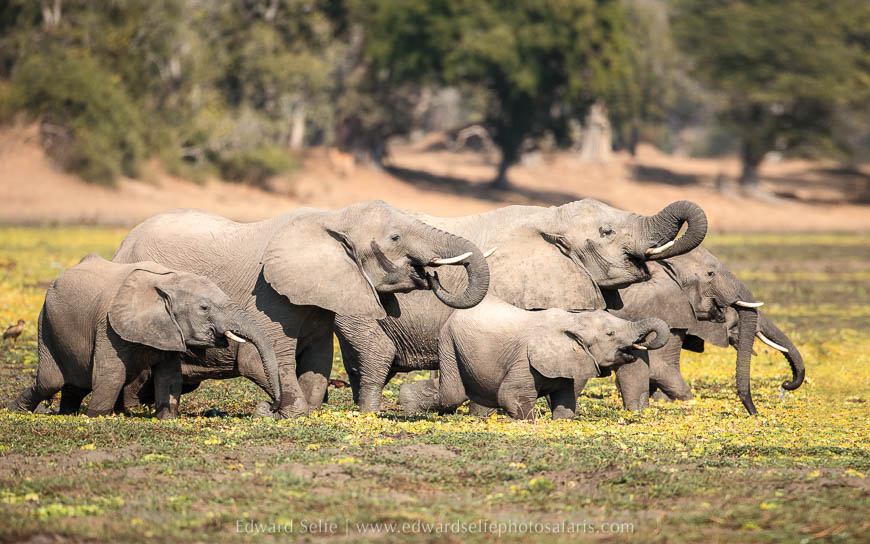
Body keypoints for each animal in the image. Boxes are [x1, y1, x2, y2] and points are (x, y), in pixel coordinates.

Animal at [8, 255, 282, 419]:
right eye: (204, 308)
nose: (270, 407)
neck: (169, 280)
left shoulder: (169, 330)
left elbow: (170, 377)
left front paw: (167, 418)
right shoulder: (108, 325)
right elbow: (111, 374)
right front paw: (98, 418)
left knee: (74, 387)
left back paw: (66, 415)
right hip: (45, 323)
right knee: (50, 382)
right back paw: (15, 411)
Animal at [112, 200, 490, 417]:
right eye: (395, 238)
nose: (432, 275)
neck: (332, 219)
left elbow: (319, 360)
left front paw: (298, 410)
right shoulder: (269, 295)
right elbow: (262, 358)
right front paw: (281, 411)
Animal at [398, 297, 670, 420]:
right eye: (610, 334)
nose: (641, 342)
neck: (572, 321)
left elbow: (565, 402)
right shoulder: (524, 360)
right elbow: (511, 396)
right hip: (449, 342)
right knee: (453, 393)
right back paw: (408, 409)